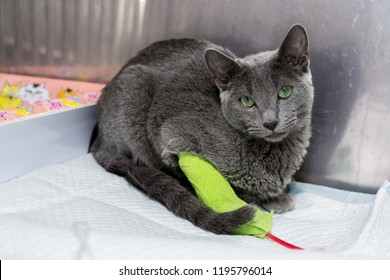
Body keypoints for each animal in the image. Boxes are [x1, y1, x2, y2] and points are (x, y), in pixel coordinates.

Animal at [91, 23, 314, 234]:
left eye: (284, 91)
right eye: (247, 101)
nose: (270, 122)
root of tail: (98, 138)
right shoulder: (170, 133)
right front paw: (271, 198)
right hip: (134, 94)